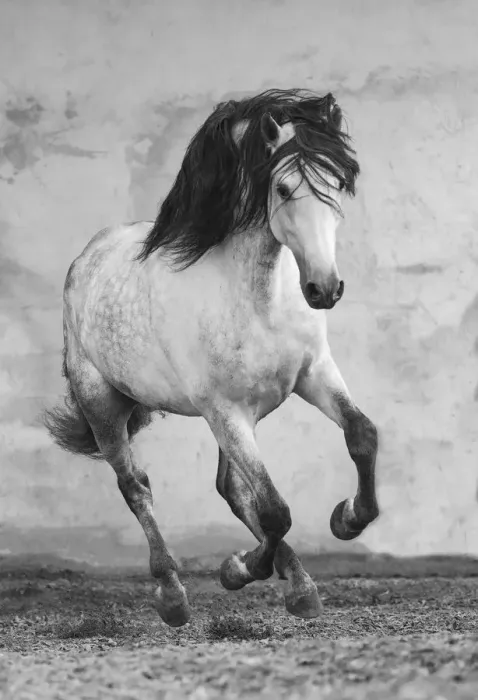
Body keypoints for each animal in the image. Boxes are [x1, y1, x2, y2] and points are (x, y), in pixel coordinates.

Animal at [43, 88, 379, 628]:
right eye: (283, 187)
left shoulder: (313, 375)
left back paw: (299, 584)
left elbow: (361, 436)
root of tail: (89, 256)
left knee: (233, 490)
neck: (258, 298)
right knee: (137, 486)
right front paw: (240, 569)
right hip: (106, 405)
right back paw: (173, 595)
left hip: (242, 415)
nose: (324, 289)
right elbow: (275, 511)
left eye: (340, 185)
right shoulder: (224, 410)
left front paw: (346, 519)